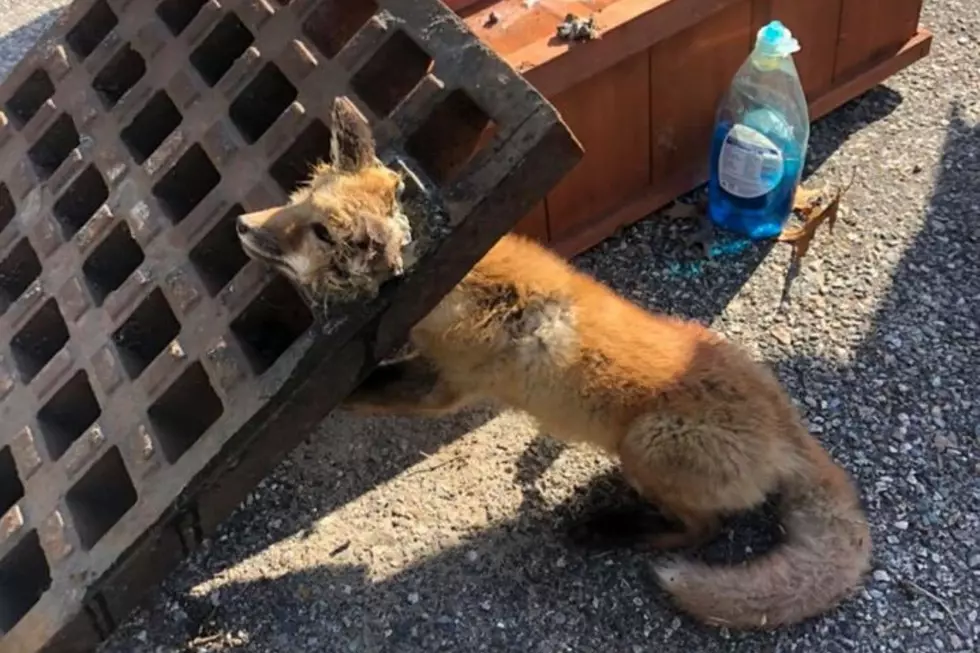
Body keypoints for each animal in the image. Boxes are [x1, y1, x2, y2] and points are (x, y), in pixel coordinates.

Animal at [237, 95, 872, 628]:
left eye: (318, 232)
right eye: (298, 203)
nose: (242, 226)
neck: (460, 286)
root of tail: (788, 425)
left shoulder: (444, 387)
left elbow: (363, 390)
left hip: (646, 444)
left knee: (702, 530)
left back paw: (610, 529)